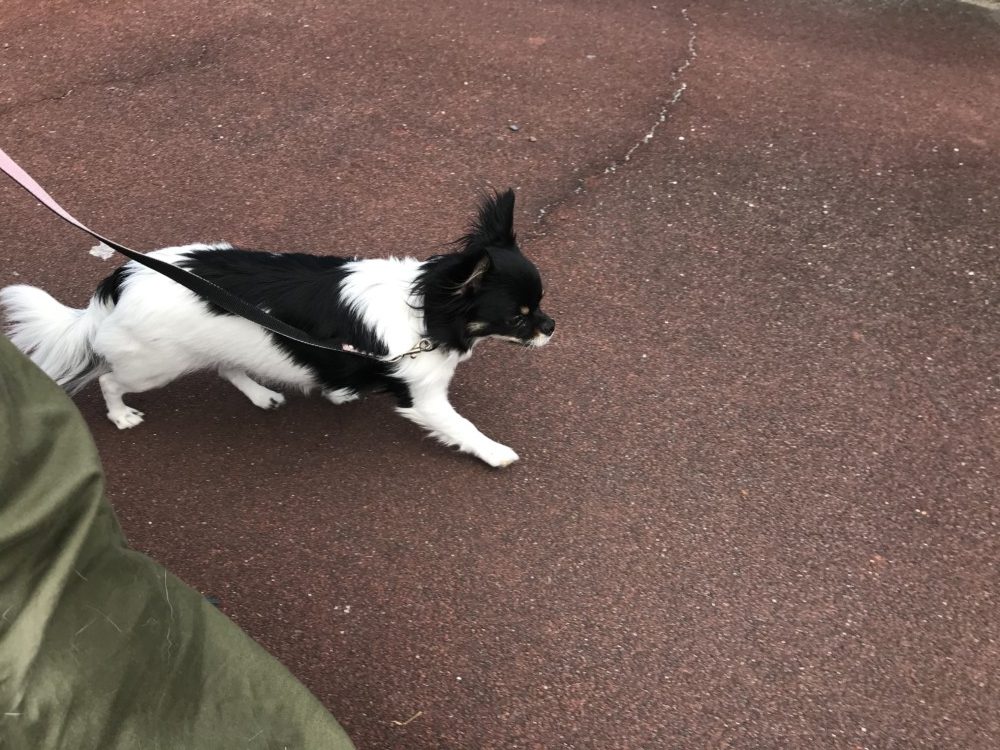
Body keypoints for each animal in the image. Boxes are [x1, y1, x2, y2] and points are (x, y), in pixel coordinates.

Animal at [1, 189, 554, 467]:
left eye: (540, 305)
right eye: (519, 315)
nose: (553, 326)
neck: (426, 306)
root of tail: (120, 279)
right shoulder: (425, 397)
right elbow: (462, 428)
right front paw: (497, 453)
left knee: (228, 368)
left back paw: (260, 394)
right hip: (153, 367)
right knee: (111, 380)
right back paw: (120, 416)